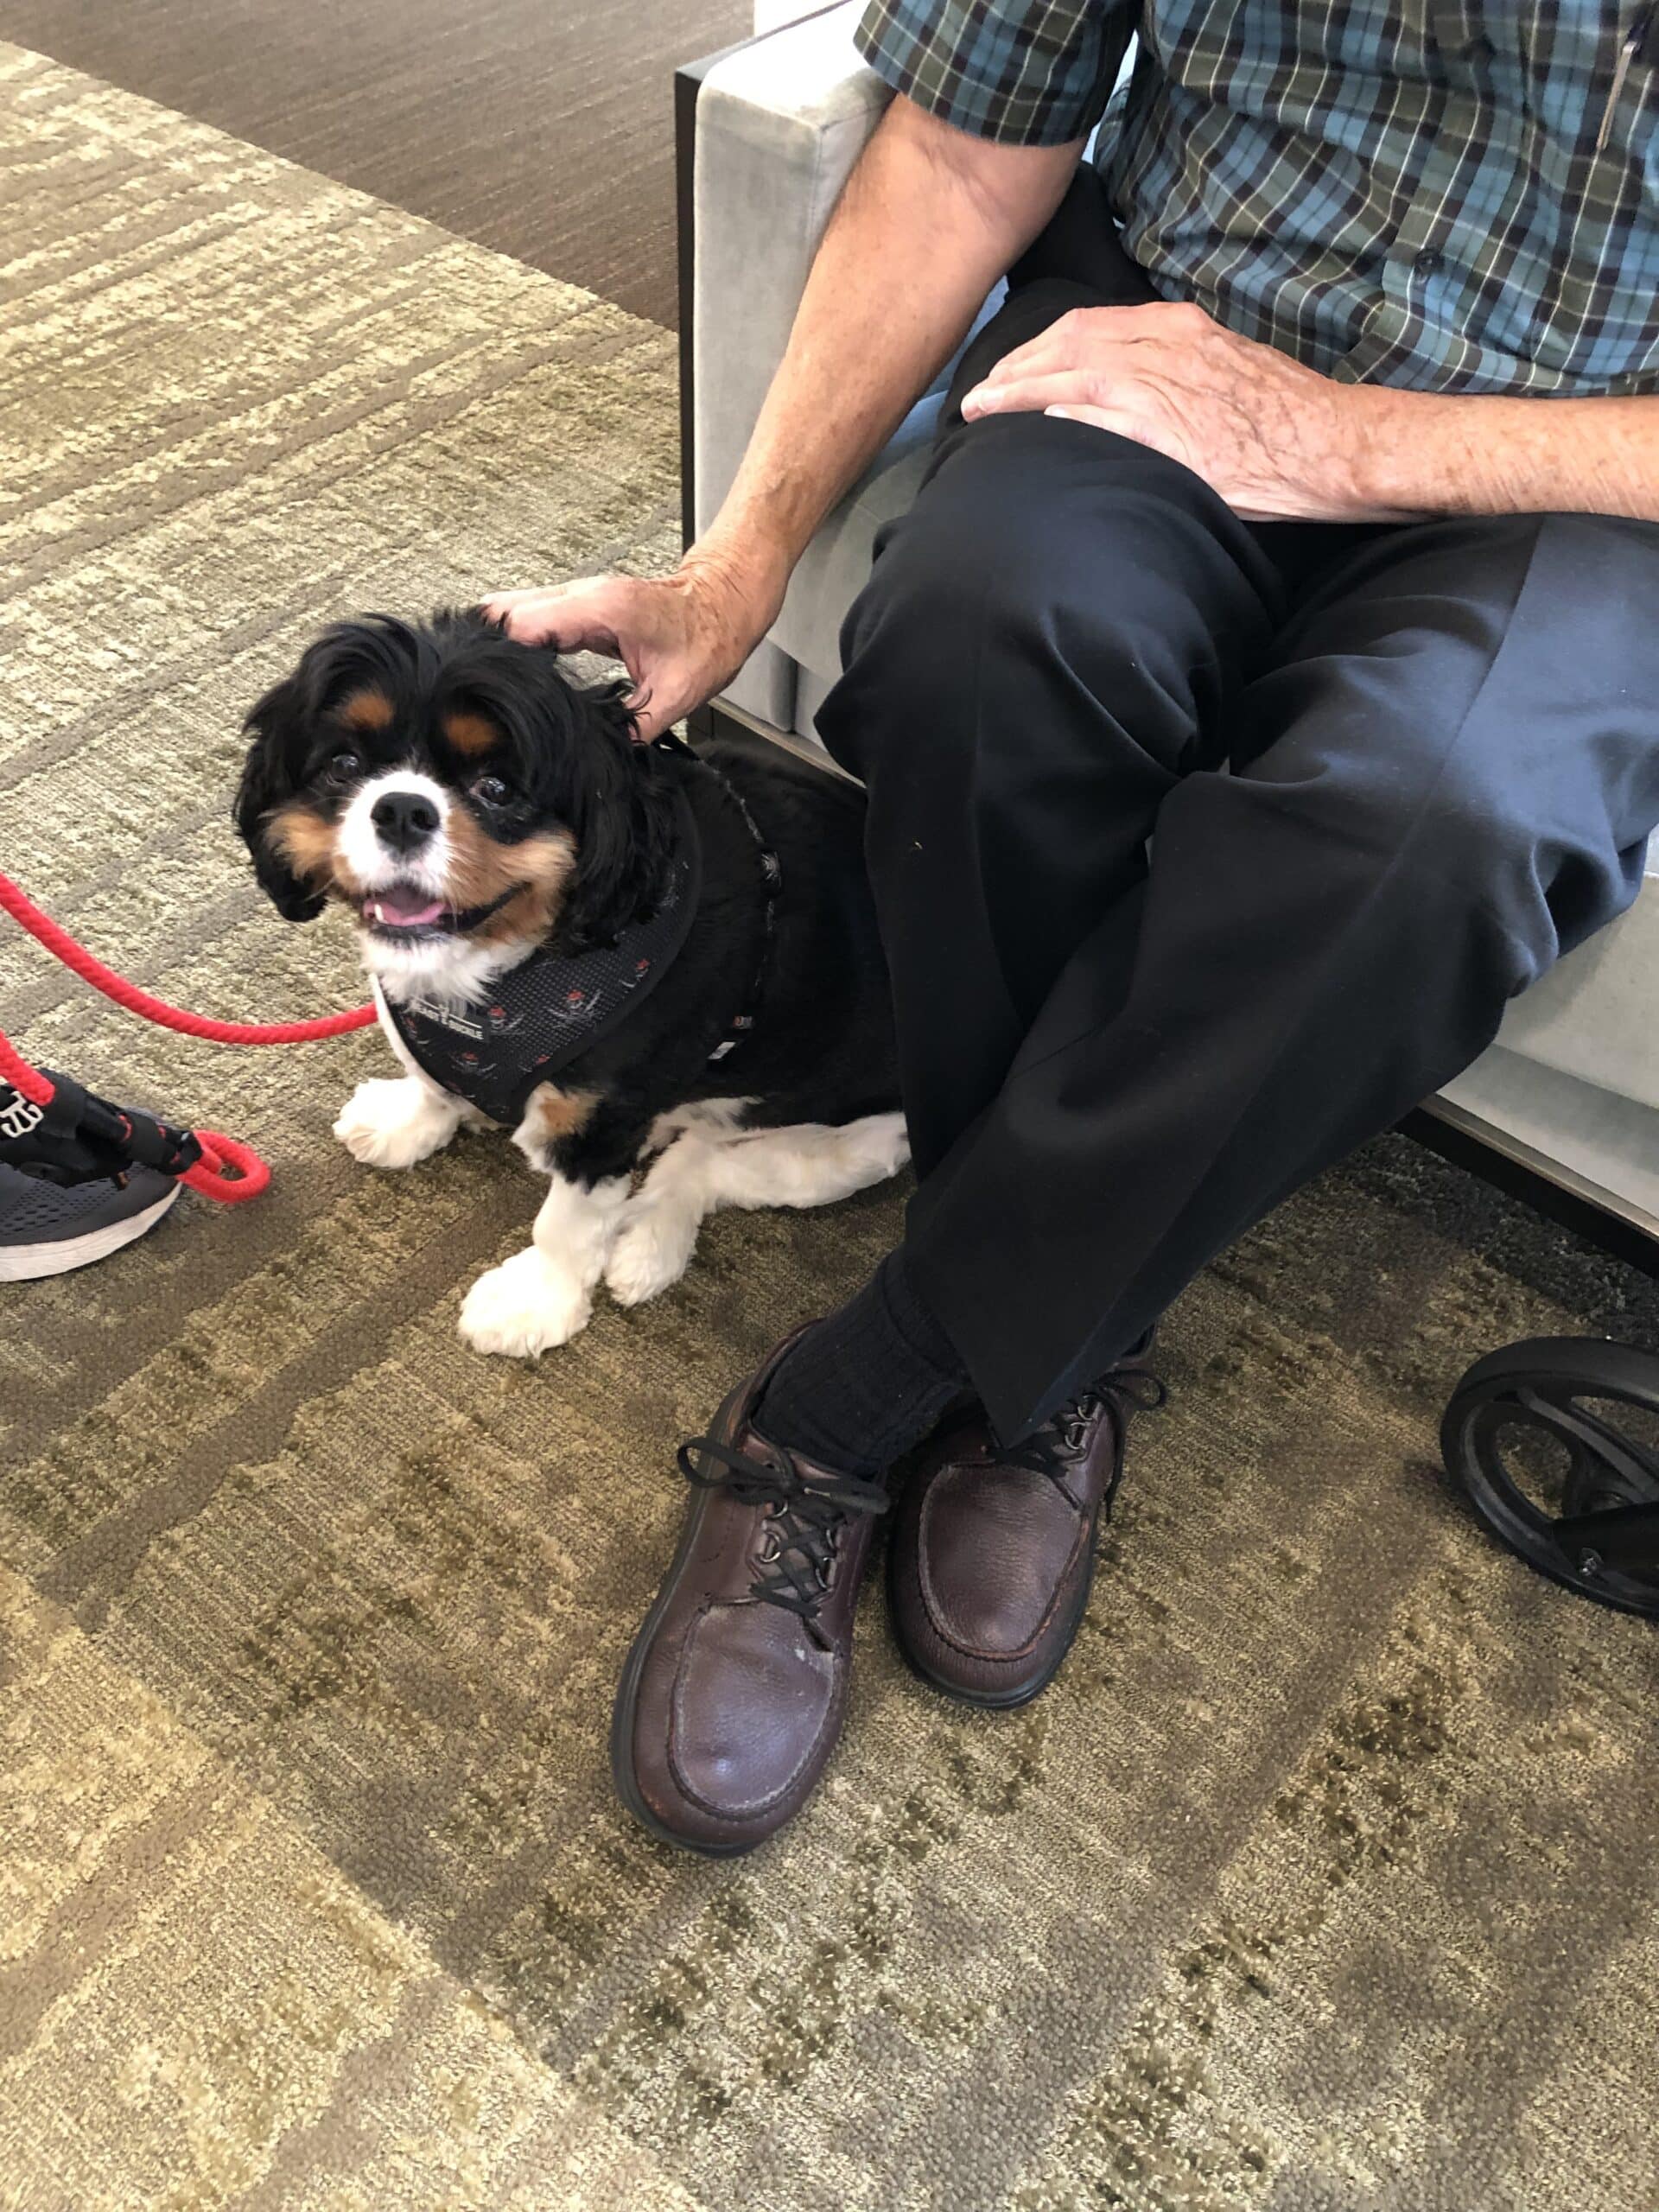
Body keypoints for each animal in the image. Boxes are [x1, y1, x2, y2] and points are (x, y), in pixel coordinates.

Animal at [231, 614, 911, 1353]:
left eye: (497, 788)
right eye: (345, 767)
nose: (402, 809)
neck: (506, 967)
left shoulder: (597, 1125)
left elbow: (565, 1222)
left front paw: (533, 1302)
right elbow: (432, 1081)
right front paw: (406, 1120)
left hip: (851, 1142)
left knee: (707, 1163)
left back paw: (647, 1246)